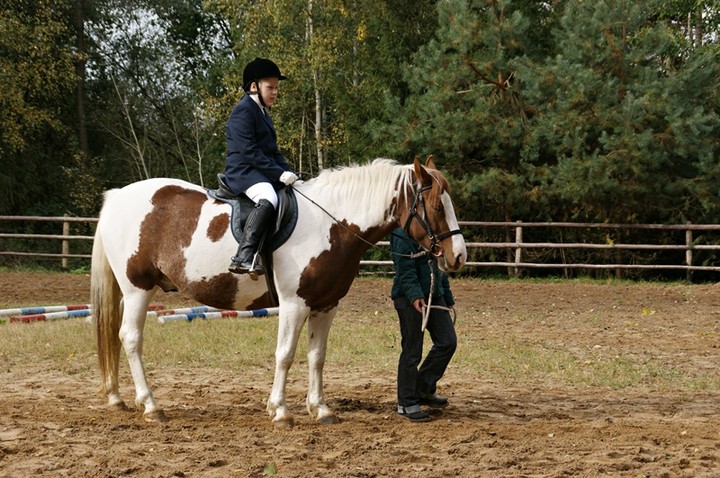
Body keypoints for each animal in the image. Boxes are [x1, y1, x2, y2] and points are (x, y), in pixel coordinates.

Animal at [91, 157, 466, 430]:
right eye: (436, 206)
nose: (458, 256)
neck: (330, 226)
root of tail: (118, 196)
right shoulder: (293, 305)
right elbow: (285, 355)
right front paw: (281, 411)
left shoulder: (326, 305)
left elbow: (317, 357)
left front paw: (321, 409)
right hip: (137, 289)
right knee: (130, 339)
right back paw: (150, 405)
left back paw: (117, 398)